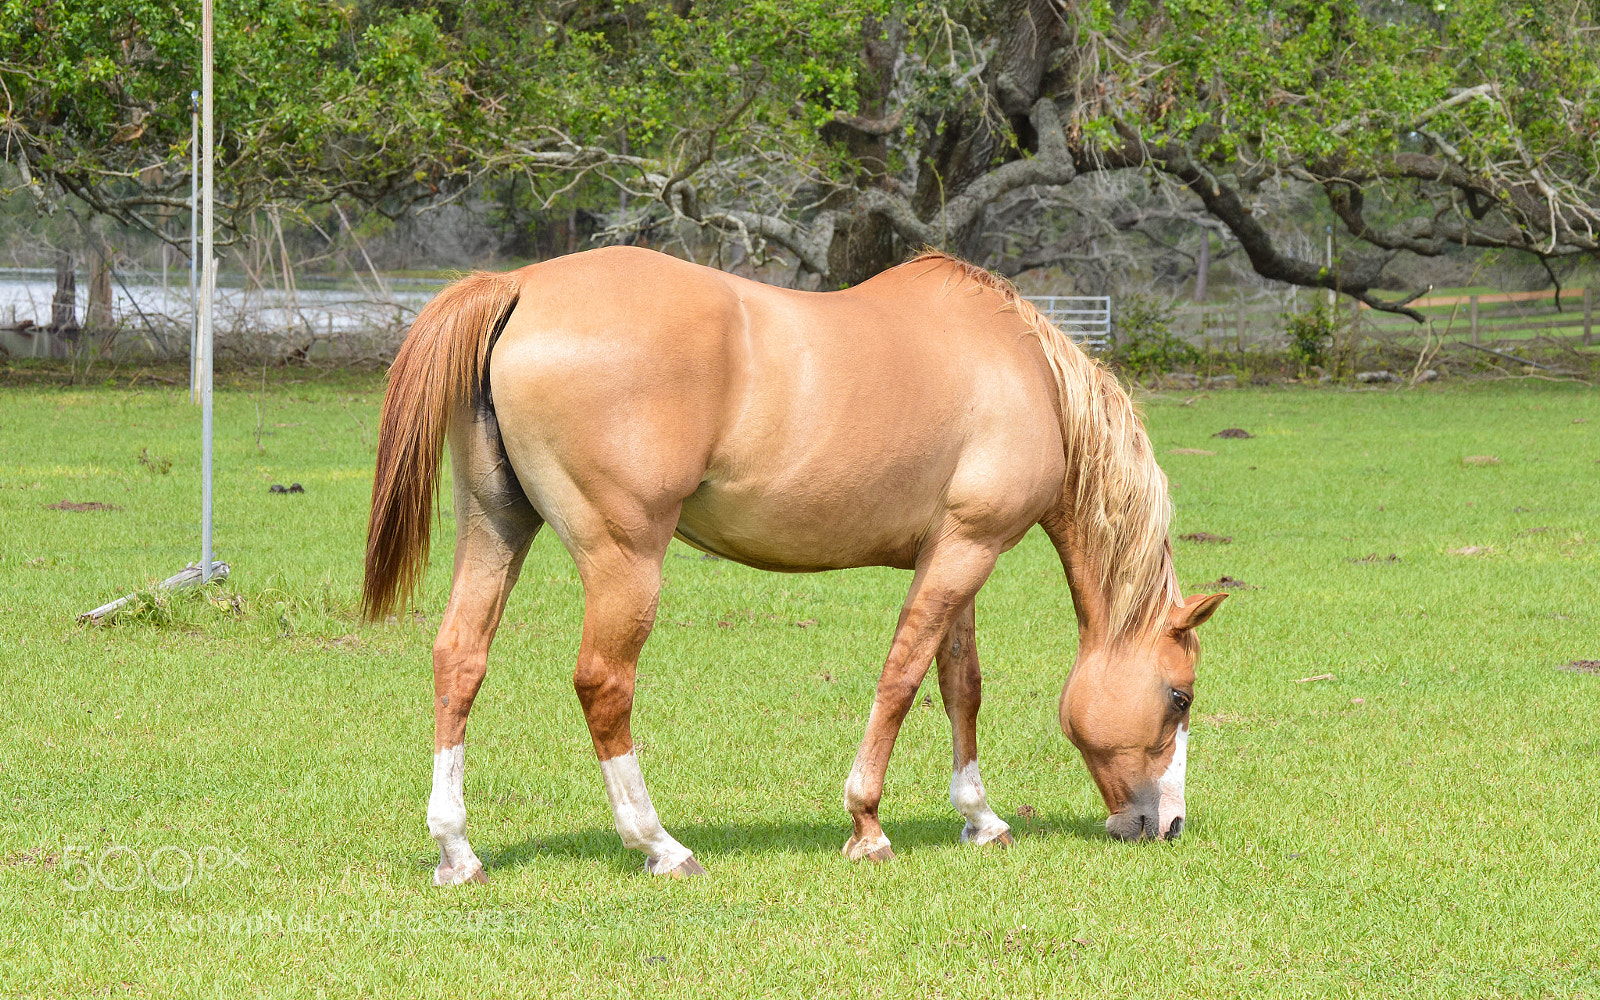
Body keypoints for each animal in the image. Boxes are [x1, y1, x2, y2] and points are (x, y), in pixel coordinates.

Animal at [362, 246, 1225, 884]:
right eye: (1179, 696)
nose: (1166, 824)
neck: (1027, 376)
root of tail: (521, 286)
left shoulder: (957, 552)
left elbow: (960, 686)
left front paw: (980, 817)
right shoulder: (966, 551)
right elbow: (901, 680)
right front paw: (868, 824)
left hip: (497, 528)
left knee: (460, 660)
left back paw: (457, 851)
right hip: (623, 559)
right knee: (603, 685)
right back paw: (658, 844)